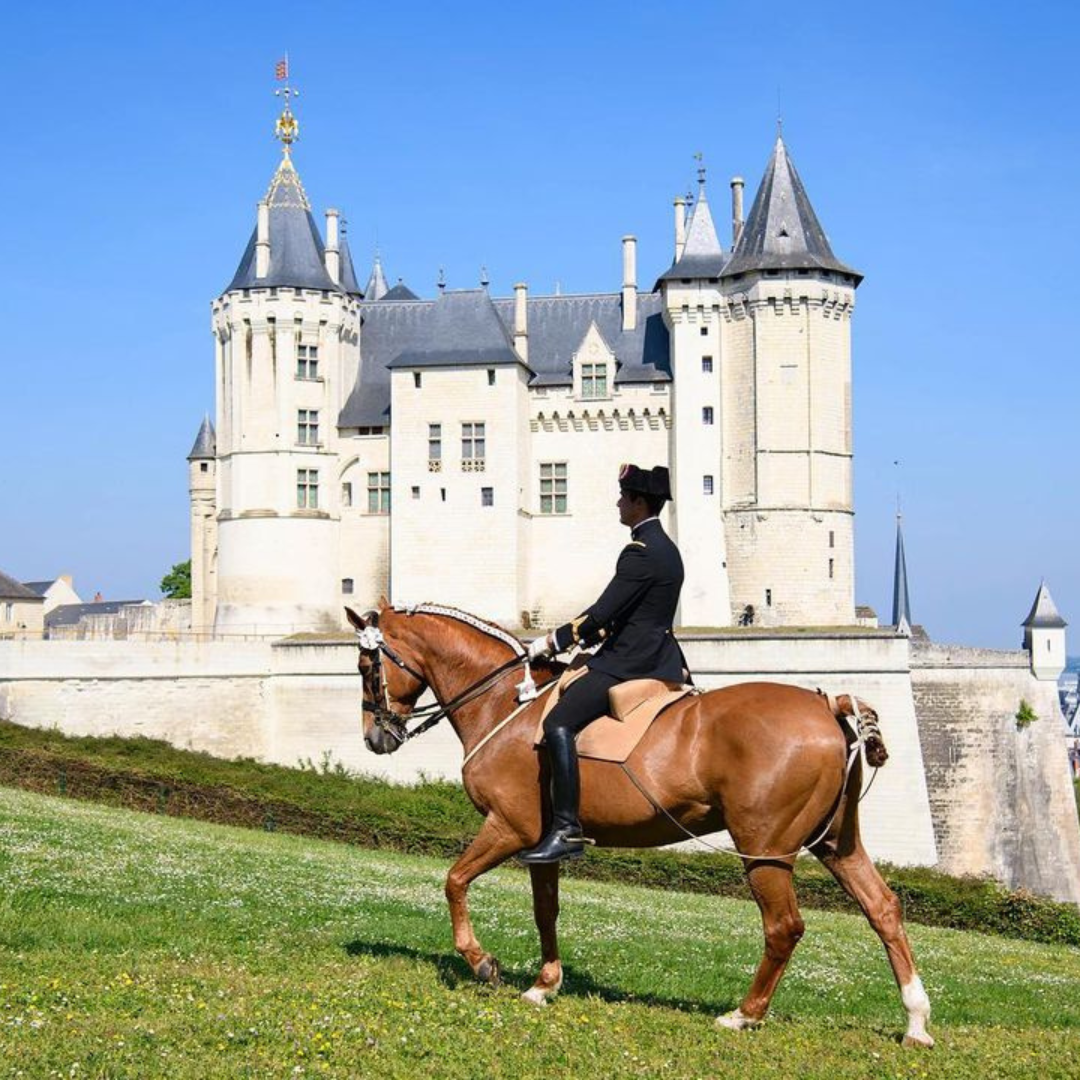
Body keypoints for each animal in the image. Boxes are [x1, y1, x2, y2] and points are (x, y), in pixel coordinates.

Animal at [343, 600, 928, 1045]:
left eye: (366, 668)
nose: (375, 737)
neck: (506, 705)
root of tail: (829, 704)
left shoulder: (508, 828)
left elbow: (454, 881)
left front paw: (481, 962)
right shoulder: (542, 844)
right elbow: (545, 912)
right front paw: (545, 983)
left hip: (765, 851)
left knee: (784, 927)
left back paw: (745, 1014)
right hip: (835, 844)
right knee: (883, 909)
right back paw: (916, 1020)